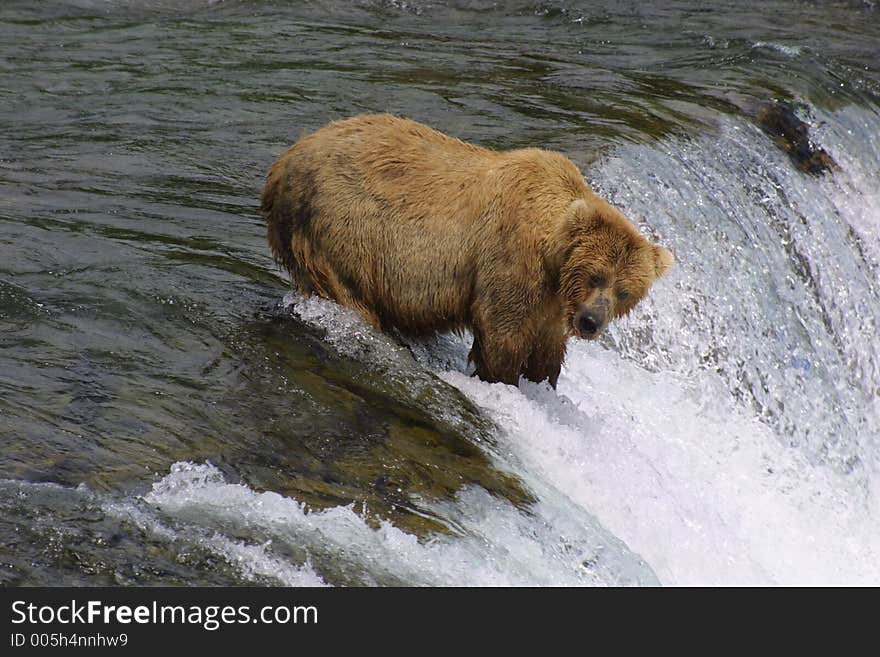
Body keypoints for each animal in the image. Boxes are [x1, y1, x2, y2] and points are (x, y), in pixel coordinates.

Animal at [262, 113, 672, 386]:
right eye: (595, 275)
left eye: (625, 291)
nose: (590, 322)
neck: (552, 256)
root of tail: (283, 163)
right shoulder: (511, 261)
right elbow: (503, 334)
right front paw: (502, 379)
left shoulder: (552, 303)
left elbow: (548, 347)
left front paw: (544, 382)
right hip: (343, 229)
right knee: (350, 295)